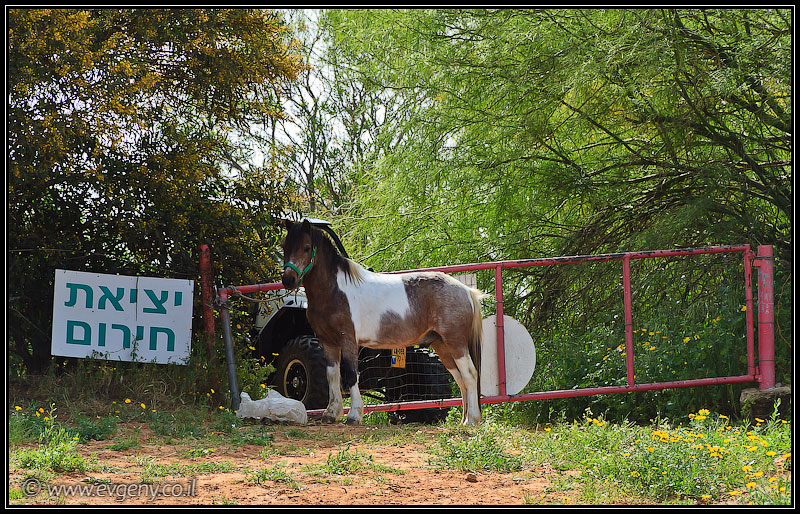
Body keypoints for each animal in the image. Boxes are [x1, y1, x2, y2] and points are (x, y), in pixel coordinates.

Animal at [281, 219, 486, 426]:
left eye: (307, 247)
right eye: (285, 246)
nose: (288, 279)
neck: (335, 291)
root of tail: (466, 291)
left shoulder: (348, 340)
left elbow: (351, 374)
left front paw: (354, 415)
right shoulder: (327, 342)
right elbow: (332, 375)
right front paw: (331, 413)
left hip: (455, 342)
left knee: (470, 374)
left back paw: (472, 420)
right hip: (442, 345)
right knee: (460, 378)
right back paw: (464, 420)